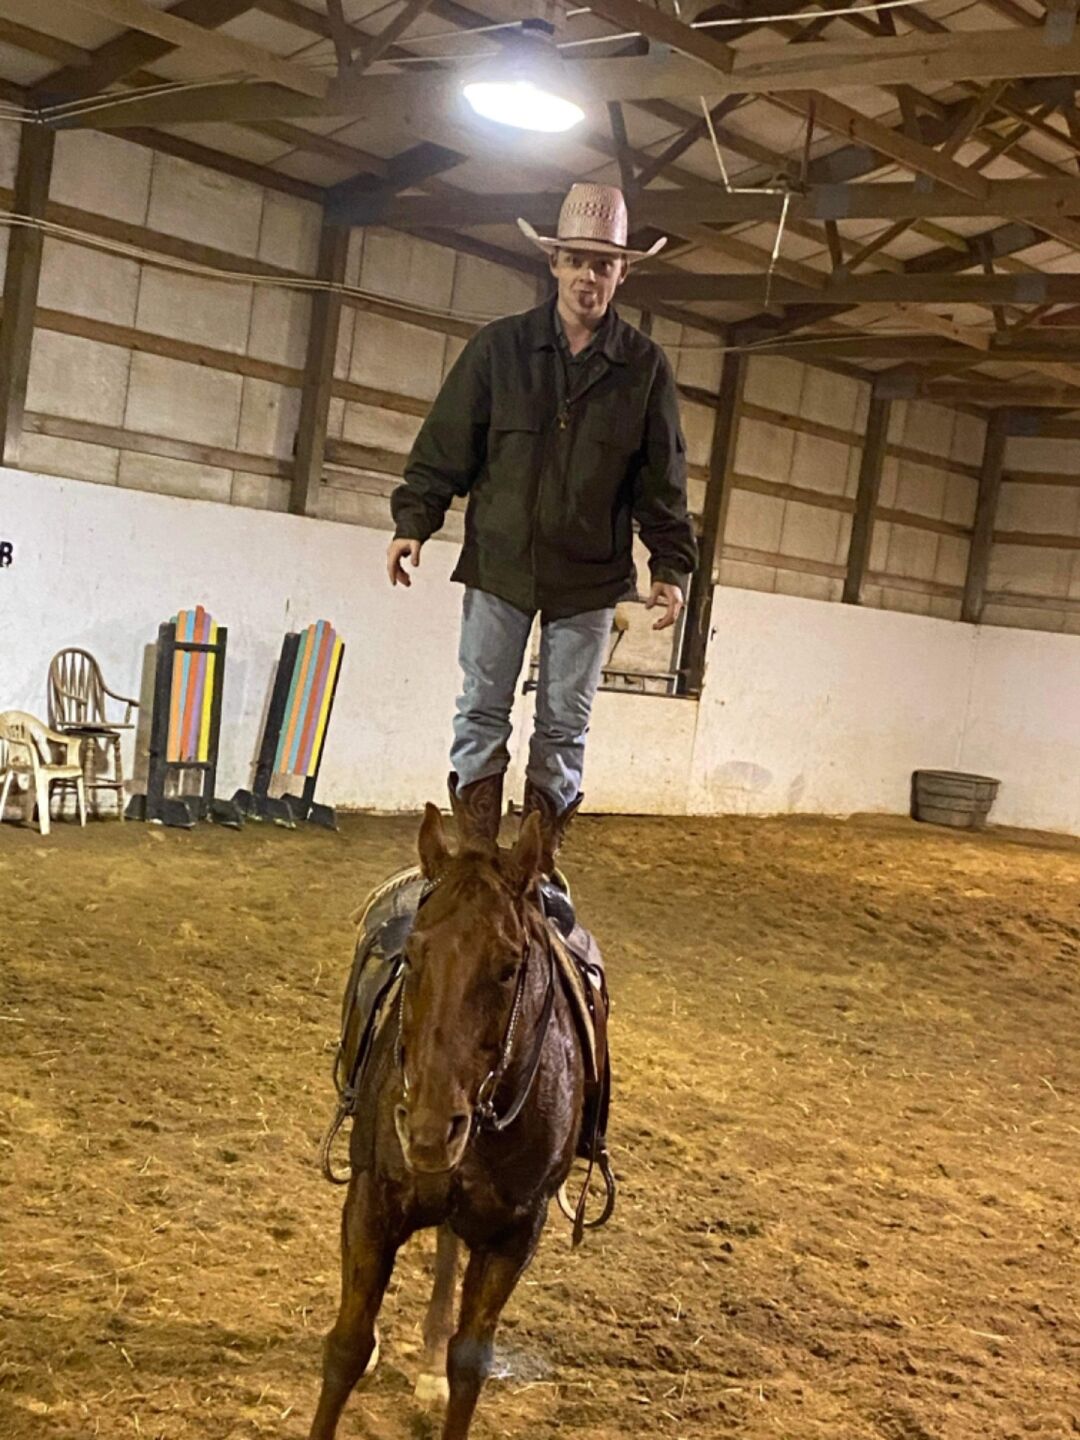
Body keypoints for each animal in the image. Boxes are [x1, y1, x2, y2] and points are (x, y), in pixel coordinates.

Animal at [309, 803, 591, 1440]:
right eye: (413, 954)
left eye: (510, 967)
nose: (430, 1129)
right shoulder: (371, 1202)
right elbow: (347, 1345)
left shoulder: (516, 1231)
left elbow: (471, 1362)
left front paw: (445, 1368)